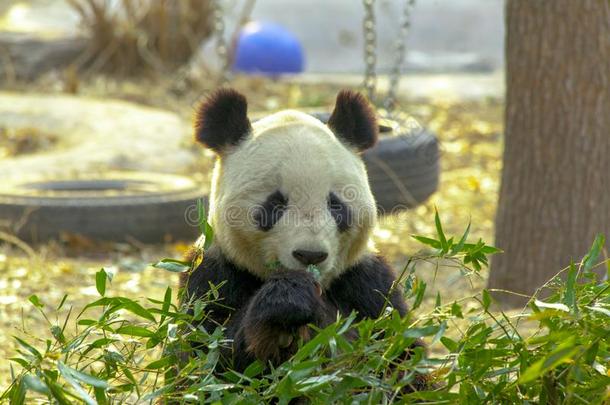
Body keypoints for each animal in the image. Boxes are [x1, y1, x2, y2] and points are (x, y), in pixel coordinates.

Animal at [180, 89, 426, 388]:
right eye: (275, 204)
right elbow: (207, 358)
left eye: (335, 204)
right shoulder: (212, 276)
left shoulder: (368, 283)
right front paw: (286, 300)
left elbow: (398, 356)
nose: (310, 255)